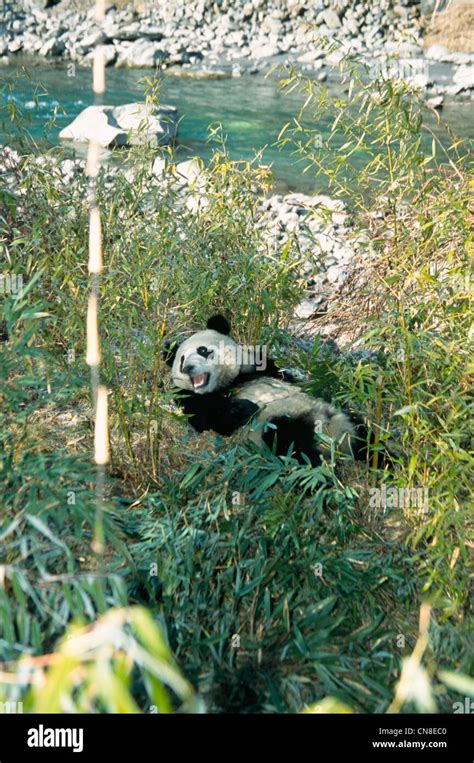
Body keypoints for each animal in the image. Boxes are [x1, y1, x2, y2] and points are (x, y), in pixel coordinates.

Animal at [164, 314, 386, 468]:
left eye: (202, 350)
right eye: (181, 360)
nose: (188, 368)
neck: (229, 383)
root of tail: (333, 435)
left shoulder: (258, 366)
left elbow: (286, 376)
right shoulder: (190, 399)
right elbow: (211, 419)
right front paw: (245, 407)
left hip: (342, 418)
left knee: (368, 441)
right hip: (278, 426)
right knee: (295, 448)